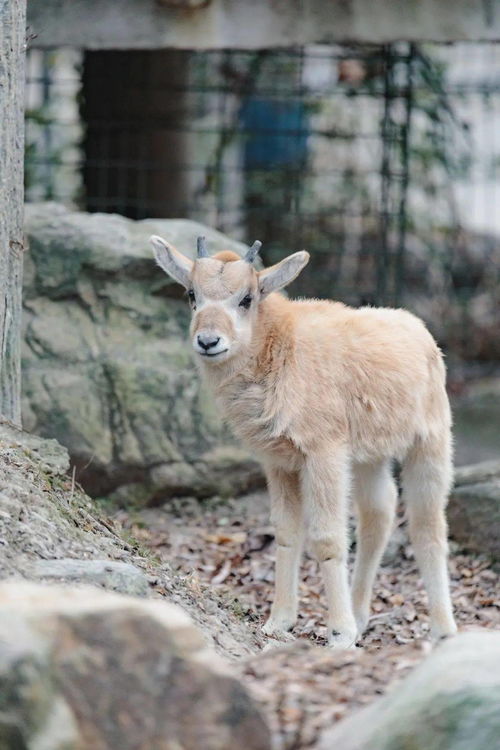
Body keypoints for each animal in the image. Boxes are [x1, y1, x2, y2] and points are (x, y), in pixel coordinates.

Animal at [151, 236, 458, 652]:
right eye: (191, 294)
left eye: (246, 298)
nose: (209, 341)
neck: (280, 347)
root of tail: (422, 334)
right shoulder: (278, 461)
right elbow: (286, 532)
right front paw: (279, 621)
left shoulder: (324, 452)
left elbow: (327, 538)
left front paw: (339, 634)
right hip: (368, 457)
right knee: (378, 514)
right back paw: (361, 617)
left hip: (430, 441)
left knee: (428, 525)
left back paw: (442, 630)